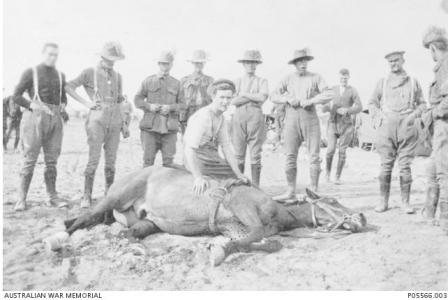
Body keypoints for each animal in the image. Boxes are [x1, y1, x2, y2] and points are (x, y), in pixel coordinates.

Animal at [66, 166, 368, 264]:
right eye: (333, 201)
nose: (362, 218)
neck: (279, 211)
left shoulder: (234, 227)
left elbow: (270, 243)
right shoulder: (244, 210)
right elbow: (259, 236)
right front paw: (220, 251)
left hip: (147, 222)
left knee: (130, 232)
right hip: (115, 197)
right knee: (84, 217)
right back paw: (65, 233)